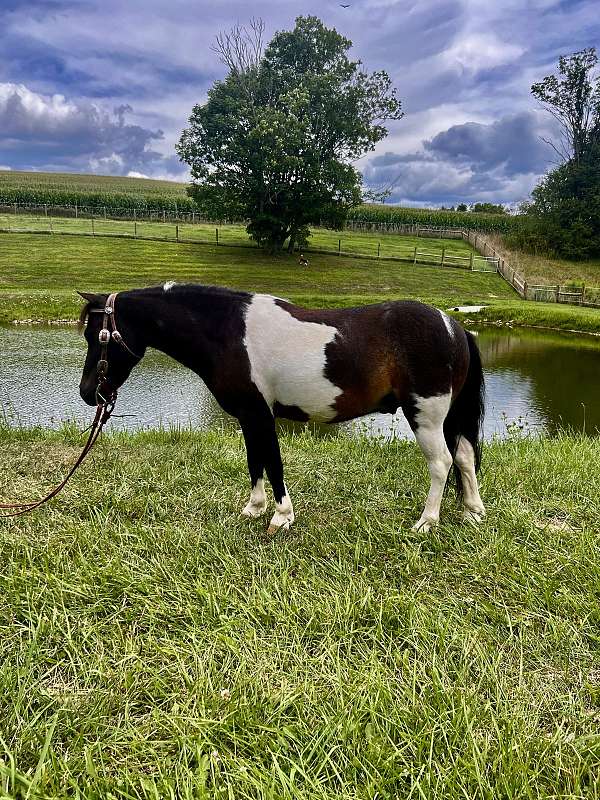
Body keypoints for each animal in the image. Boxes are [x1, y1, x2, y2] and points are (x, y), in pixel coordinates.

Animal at [77, 284, 486, 536]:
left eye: (97, 335)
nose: (87, 393)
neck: (229, 333)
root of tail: (454, 326)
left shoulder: (260, 414)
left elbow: (272, 463)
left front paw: (280, 517)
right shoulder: (248, 417)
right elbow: (255, 461)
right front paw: (253, 508)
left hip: (426, 416)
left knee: (442, 463)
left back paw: (427, 521)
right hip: (449, 417)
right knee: (464, 456)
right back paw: (471, 511)